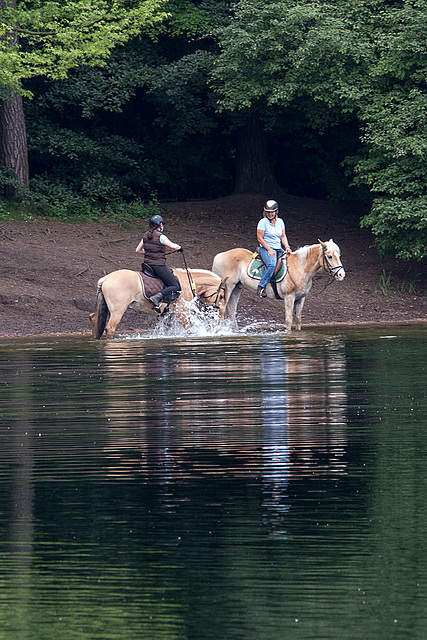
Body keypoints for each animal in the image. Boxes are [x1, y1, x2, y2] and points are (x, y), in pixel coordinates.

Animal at [90, 268, 229, 340]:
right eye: (221, 296)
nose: (220, 313)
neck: (189, 282)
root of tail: (106, 279)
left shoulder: (169, 314)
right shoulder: (181, 312)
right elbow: (189, 329)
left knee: (93, 318)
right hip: (118, 310)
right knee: (110, 328)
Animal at [212, 239, 346, 330]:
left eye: (339, 255)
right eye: (329, 256)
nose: (341, 274)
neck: (300, 267)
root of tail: (219, 255)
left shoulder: (300, 298)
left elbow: (298, 320)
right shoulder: (289, 297)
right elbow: (288, 320)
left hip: (237, 288)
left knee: (232, 311)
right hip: (228, 287)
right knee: (222, 310)